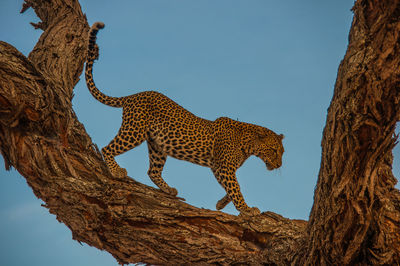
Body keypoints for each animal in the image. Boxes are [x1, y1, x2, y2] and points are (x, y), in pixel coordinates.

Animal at [84, 22, 284, 216]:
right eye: (274, 150)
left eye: (282, 152)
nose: (279, 165)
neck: (249, 145)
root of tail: (133, 96)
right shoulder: (224, 167)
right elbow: (236, 188)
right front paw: (247, 209)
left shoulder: (219, 168)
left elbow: (231, 187)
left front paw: (221, 204)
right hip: (134, 131)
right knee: (107, 148)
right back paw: (116, 171)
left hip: (157, 145)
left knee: (152, 171)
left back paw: (168, 189)